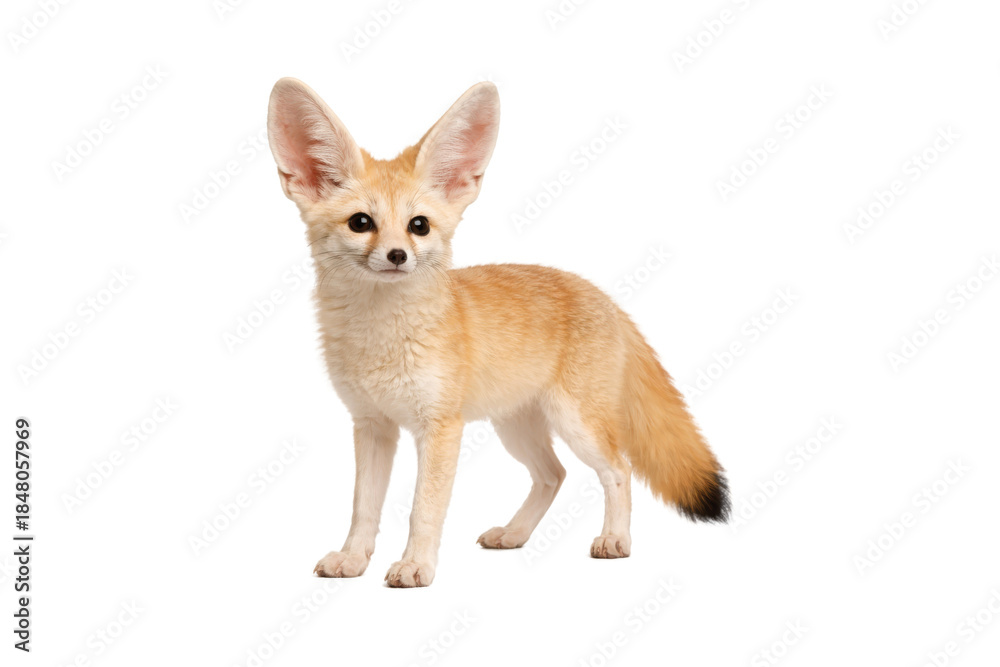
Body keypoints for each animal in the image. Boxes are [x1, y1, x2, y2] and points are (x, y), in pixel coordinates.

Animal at [266, 78, 729, 588]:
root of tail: (600, 294)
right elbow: (362, 508)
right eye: (361, 223)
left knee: (619, 470)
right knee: (554, 475)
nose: (397, 256)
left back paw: (615, 540)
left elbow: (423, 509)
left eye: (418, 226)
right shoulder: (372, 425)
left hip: (577, 425)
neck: (382, 341)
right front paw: (353, 559)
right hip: (516, 428)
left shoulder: (440, 428)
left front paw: (416, 565)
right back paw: (514, 534)